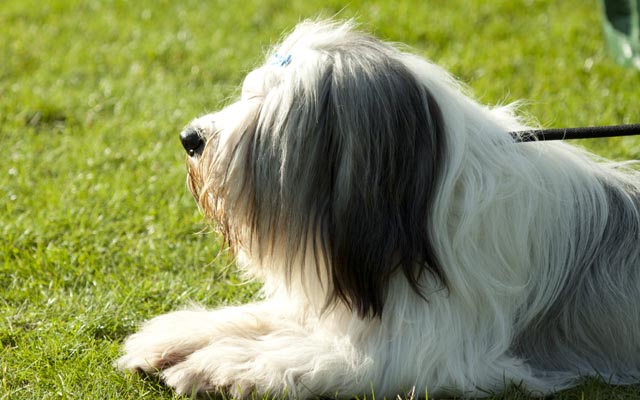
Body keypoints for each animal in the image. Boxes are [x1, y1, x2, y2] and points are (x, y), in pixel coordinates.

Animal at [117, 20, 640, 398]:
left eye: (270, 115)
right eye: (249, 92)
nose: (190, 138)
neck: (415, 220)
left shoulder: (431, 352)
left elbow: (315, 356)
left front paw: (221, 365)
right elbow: (264, 317)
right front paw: (174, 336)